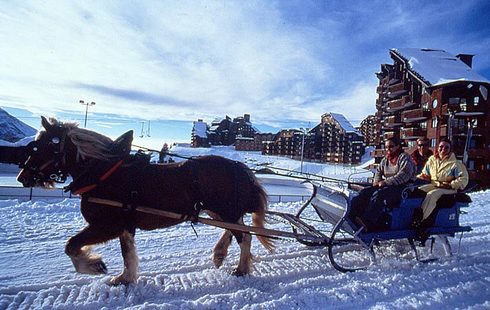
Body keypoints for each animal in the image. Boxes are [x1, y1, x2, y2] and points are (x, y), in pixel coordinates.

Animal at [16, 115, 276, 284]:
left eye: (40, 147)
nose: (22, 177)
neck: (103, 173)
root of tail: (237, 166)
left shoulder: (107, 225)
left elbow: (71, 245)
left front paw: (94, 265)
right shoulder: (125, 225)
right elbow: (127, 253)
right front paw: (125, 278)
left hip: (225, 210)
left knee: (244, 236)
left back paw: (241, 268)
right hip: (219, 210)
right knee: (236, 229)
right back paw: (220, 254)